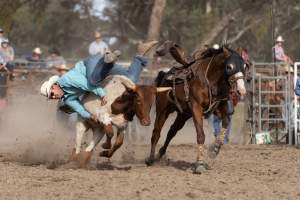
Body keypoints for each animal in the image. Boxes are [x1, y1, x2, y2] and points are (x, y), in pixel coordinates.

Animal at [145, 43, 246, 173]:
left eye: (245, 66)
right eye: (229, 67)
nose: (241, 90)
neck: (210, 79)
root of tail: (164, 75)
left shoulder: (219, 108)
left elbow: (226, 123)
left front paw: (214, 150)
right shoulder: (196, 108)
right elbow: (201, 135)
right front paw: (200, 164)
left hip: (183, 115)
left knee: (172, 132)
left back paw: (160, 154)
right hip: (163, 110)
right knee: (156, 133)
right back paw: (150, 159)